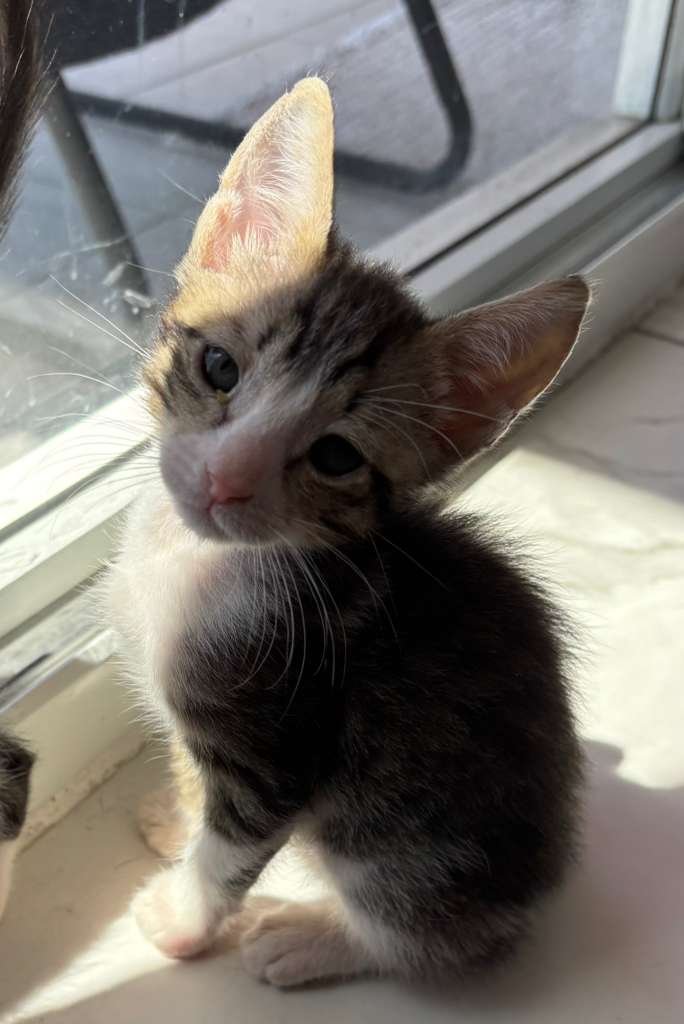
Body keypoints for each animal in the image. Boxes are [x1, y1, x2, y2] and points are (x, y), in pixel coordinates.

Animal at [104, 78, 590, 986]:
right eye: (219, 368)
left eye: (335, 456)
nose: (226, 478)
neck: (198, 561)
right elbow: (196, 785)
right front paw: (177, 813)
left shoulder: (281, 738)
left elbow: (228, 850)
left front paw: (183, 921)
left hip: (397, 833)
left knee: (440, 932)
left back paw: (312, 935)